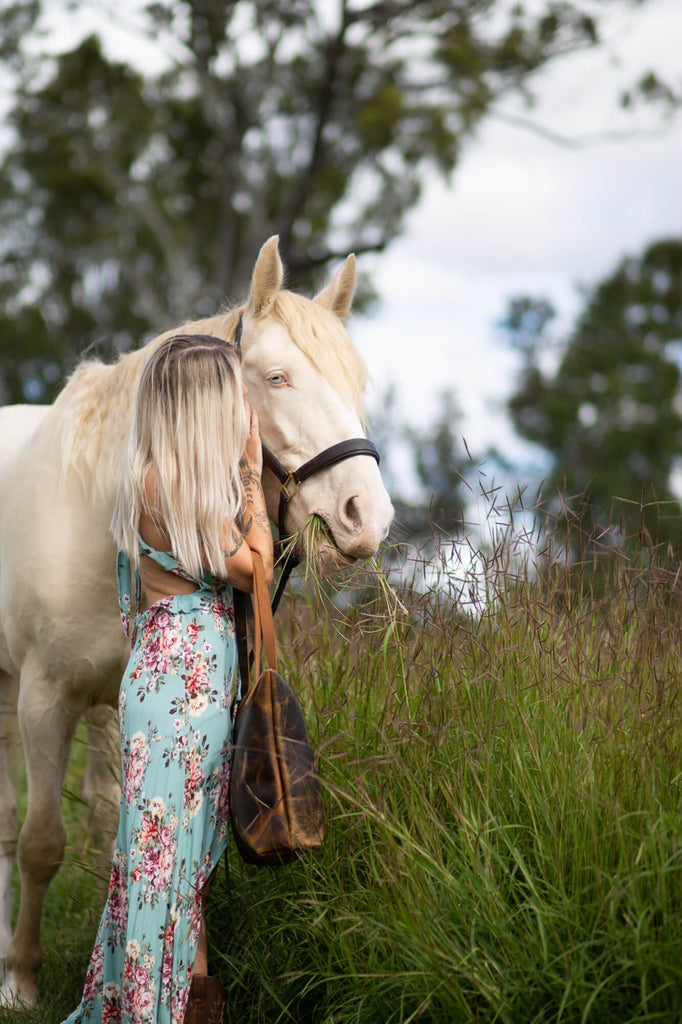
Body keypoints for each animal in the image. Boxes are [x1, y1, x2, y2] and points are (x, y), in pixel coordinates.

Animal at [0, 234, 393, 1007]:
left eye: (356, 383)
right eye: (277, 378)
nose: (369, 515)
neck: (96, 513)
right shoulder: (41, 700)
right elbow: (39, 842)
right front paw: (21, 979)